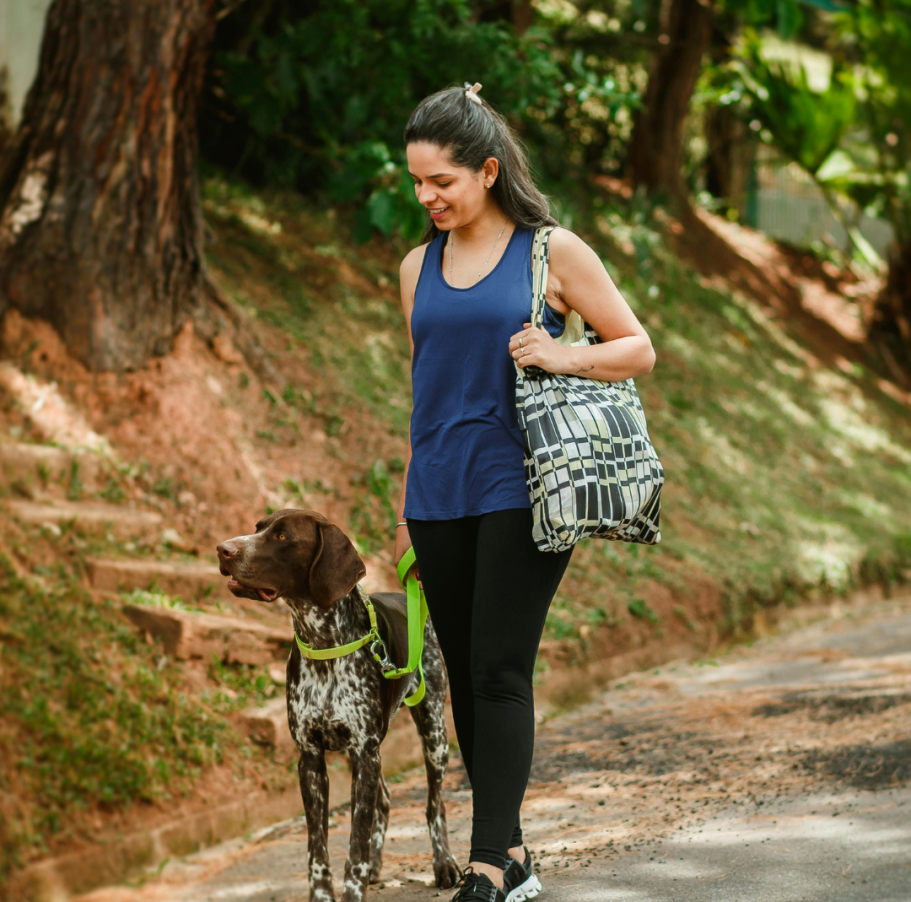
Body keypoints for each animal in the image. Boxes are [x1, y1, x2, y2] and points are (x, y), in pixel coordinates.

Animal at [216, 509, 460, 902]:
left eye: (282, 536)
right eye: (257, 528)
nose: (223, 549)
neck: (323, 645)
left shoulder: (364, 752)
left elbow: (354, 846)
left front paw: (354, 889)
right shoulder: (312, 760)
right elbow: (318, 847)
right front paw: (323, 894)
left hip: (433, 732)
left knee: (433, 805)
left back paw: (444, 864)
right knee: (384, 801)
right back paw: (378, 864)